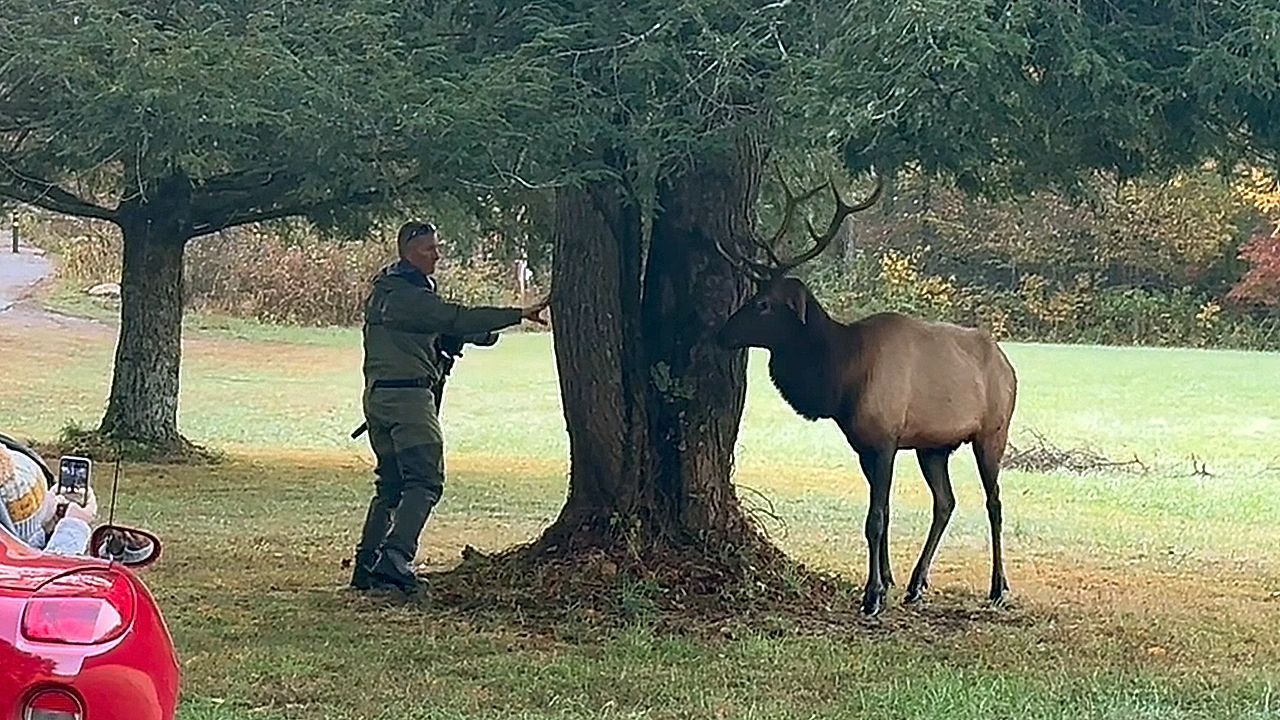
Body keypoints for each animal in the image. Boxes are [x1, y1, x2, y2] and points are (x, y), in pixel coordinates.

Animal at [714, 166, 1018, 617]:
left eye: (765, 303)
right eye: (753, 296)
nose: (721, 333)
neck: (840, 380)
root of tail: (1008, 365)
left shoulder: (886, 438)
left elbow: (875, 518)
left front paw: (872, 595)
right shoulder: (861, 444)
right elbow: (882, 515)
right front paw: (887, 582)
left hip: (992, 432)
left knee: (993, 503)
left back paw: (998, 587)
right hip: (933, 446)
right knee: (945, 502)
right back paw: (916, 583)